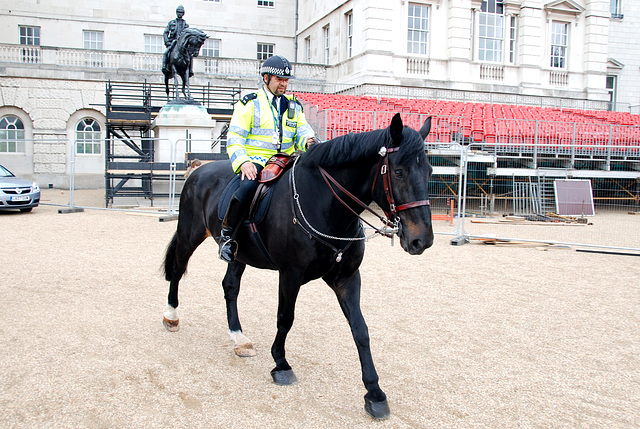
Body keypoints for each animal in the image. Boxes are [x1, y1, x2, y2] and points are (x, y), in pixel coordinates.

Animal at [165, 113, 436, 418]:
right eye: (399, 172)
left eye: (429, 172)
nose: (422, 240)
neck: (324, 204)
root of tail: (198, 171)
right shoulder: (290, 275)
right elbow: (285, 318)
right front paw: (281, 364)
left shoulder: (347, 277)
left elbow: (360, 330)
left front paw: (374, 392)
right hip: (189, 234)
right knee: (177, 270)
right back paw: (171, 315)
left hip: (239, 254)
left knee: (230, 287)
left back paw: (238, 338)